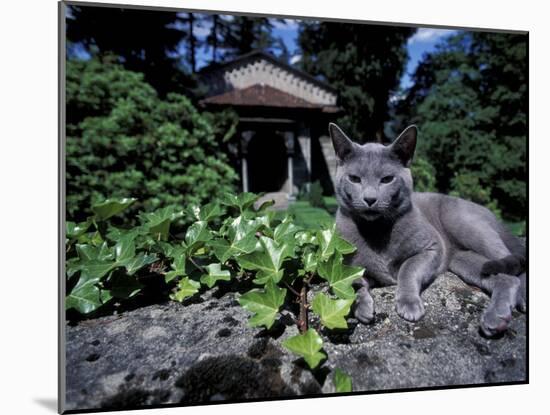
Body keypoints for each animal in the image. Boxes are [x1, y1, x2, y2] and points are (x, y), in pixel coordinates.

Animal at [330, 122, 528, 336]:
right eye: (354, 179)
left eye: (387, 179)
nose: (370, 199)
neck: (376, 231)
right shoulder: (347, 266)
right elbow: (350, 283)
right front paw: (362, 307)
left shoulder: (431, 248)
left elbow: (408, 269)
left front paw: (409, 305)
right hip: (463, 260)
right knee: (506, 279)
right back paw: (496, 319)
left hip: (467, 227)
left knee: (514, 264)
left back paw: (516, 303)